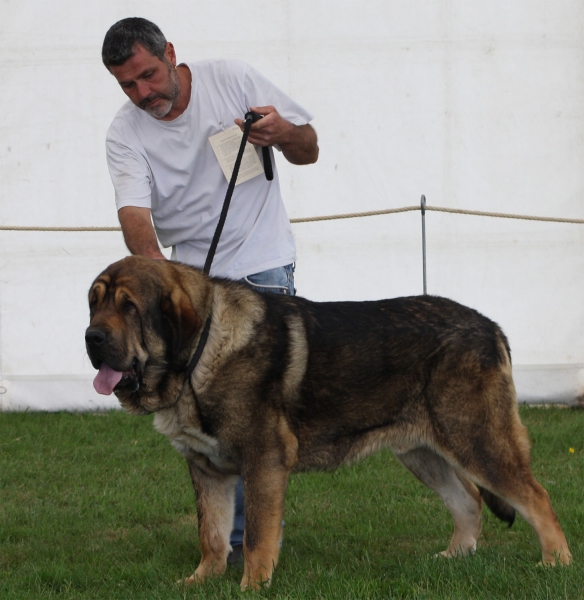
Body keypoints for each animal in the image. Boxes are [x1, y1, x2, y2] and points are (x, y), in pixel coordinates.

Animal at [84, 255, 572, 588]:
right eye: (94, 304)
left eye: (129, 307)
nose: (91, 337)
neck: (202, 352)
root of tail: (491, 327)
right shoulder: (207, 469)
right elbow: (212, 533)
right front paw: (201, 581)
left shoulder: (263, 461)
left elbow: (258, 534)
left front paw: (252, 586)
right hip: (422, 452)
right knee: (469, 500)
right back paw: (454, 558)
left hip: (476, 439)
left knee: (536, 496)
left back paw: (556, 563)